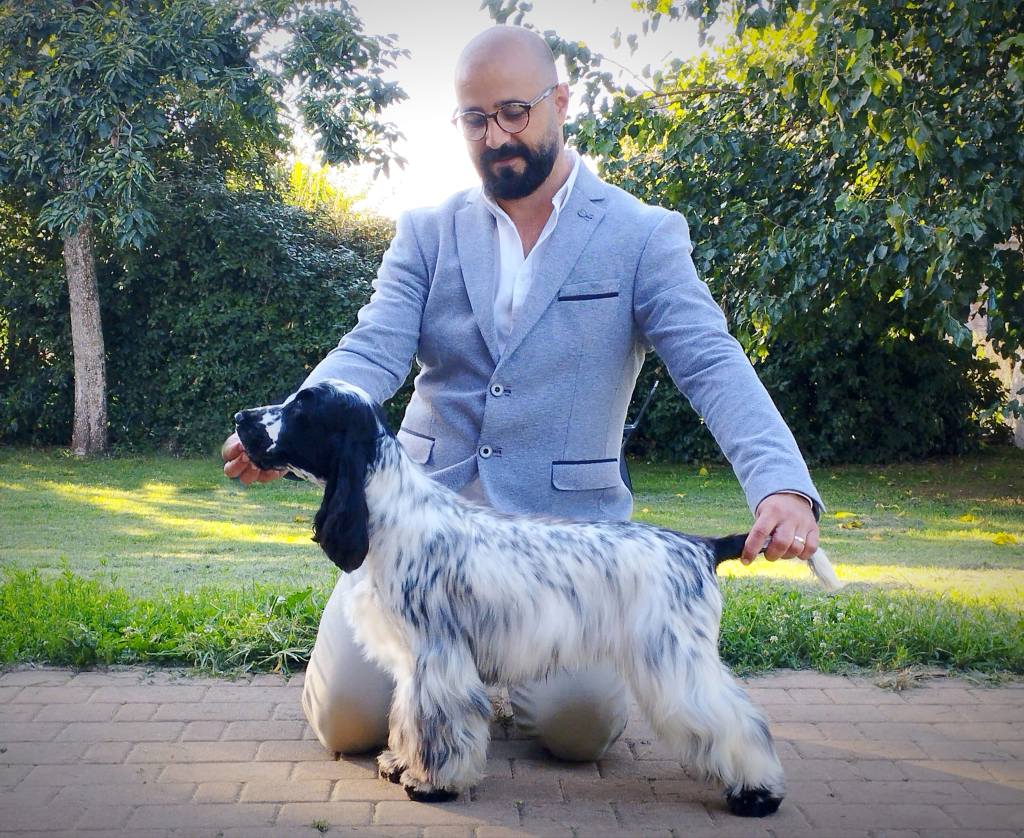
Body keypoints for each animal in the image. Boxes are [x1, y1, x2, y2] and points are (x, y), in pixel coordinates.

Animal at [234, 379, 841, 817]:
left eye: (302, 407)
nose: (241, 419)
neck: (389, 515)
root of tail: (698, 546)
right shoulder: (412, 660)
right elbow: (408, 717)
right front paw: (400, 764)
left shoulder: (438, 655)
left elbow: (439, 725)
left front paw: (431, 784)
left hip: (674, 661)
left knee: (738, 721)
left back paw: (758, 794)